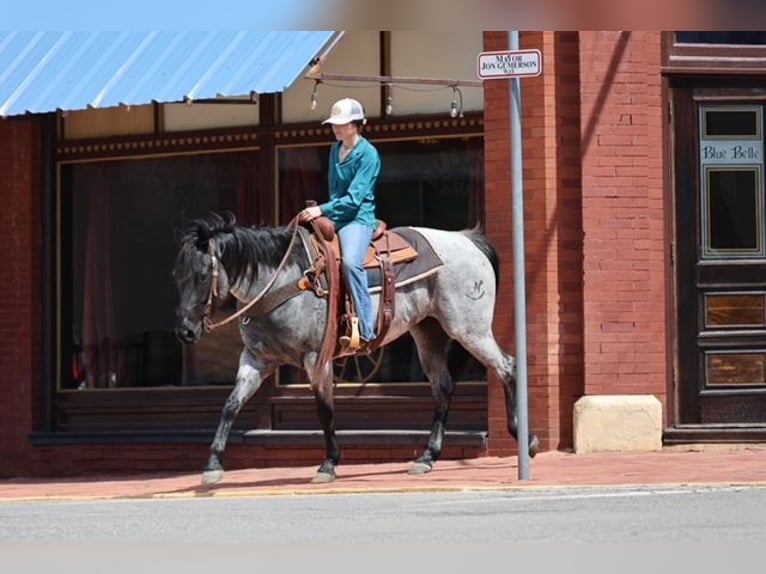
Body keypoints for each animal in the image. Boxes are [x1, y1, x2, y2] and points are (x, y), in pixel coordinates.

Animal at [173, 211, 539, 485]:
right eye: (177, 276)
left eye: (203, 275)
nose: (185, 332)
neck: (283, 281)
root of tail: (467, 240)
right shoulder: (256, 360)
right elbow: (231, 406)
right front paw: (213, 464)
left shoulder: (316, 358)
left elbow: (324, 409)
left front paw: (328, 464)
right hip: (428, 333)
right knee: (443, 387)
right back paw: (427, 456)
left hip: (469, 329)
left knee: (507, 366)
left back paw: (526, 439)